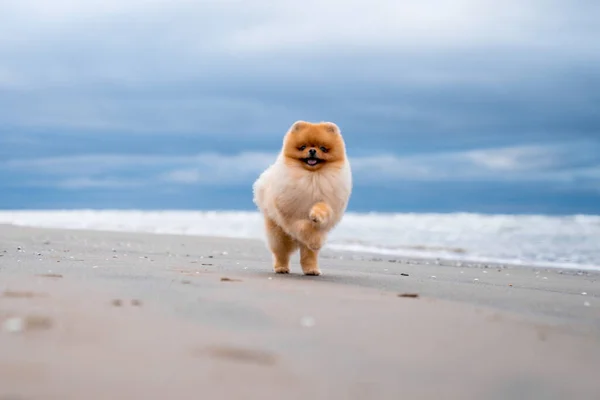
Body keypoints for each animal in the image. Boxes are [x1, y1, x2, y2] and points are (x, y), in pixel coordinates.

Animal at [252, 119, 352, 276]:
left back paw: (311, 269)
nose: (312, 150)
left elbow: (322, 211)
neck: (312, 177)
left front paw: (316, 216)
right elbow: (303, 227)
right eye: (303, 147)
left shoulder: (328, 203)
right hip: (277, 234)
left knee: (308, 254)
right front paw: (312, 235)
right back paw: (281, 267)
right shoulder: (291, 216)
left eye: (323, 148)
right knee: (281, 252)